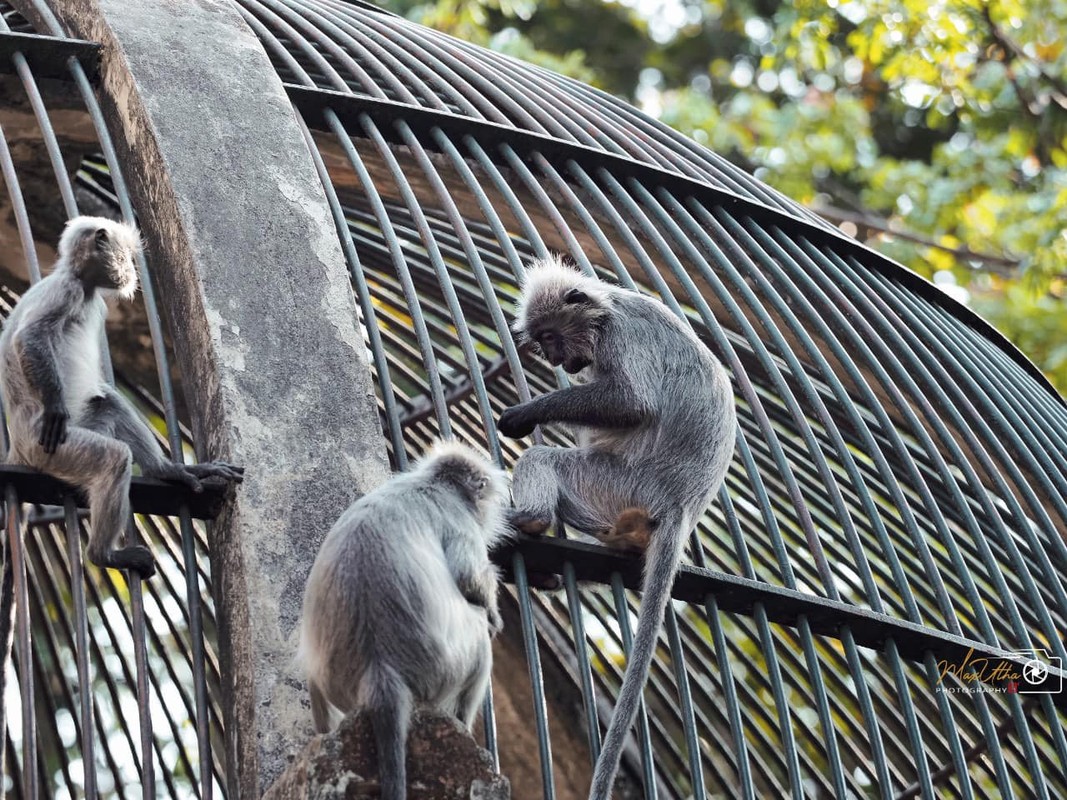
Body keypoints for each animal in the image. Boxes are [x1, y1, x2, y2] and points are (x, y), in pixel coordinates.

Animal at [0, 216, 243, 580]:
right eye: (125, 256)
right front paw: (55, 407)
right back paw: (104, 556)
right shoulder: (66, 291)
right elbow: (28, 337)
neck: (83, 286)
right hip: (49, 449)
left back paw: (166, 470)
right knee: (113, 458)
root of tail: (17, 447)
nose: (130, 269)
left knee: (109, 403)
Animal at [298, 439, 510, 800]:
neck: (434, 484)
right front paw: (494, 612)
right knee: (480, 638)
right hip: (445, 666)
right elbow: (469, 578)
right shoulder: (458, 518)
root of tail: (380, 671)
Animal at [497, 258, 734, 800]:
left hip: (615, 485)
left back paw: (527, 520)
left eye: (549, 337)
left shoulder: (621, 336)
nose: (557, 359)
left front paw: (526, 413)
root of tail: (680, 506)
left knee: (548, 461)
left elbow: (631, 404)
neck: (607, 309)